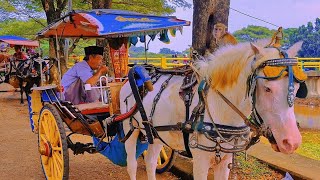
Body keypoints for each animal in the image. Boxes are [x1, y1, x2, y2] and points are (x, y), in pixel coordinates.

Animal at [119, 40, 304, 179]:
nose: (292, 142)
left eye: (296, 88)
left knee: (151, 162)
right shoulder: (200, 160)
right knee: (132, 164)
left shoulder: (225, 159)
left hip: (157, 134)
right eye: (267, 88)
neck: (218, 108)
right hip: (130, 128)